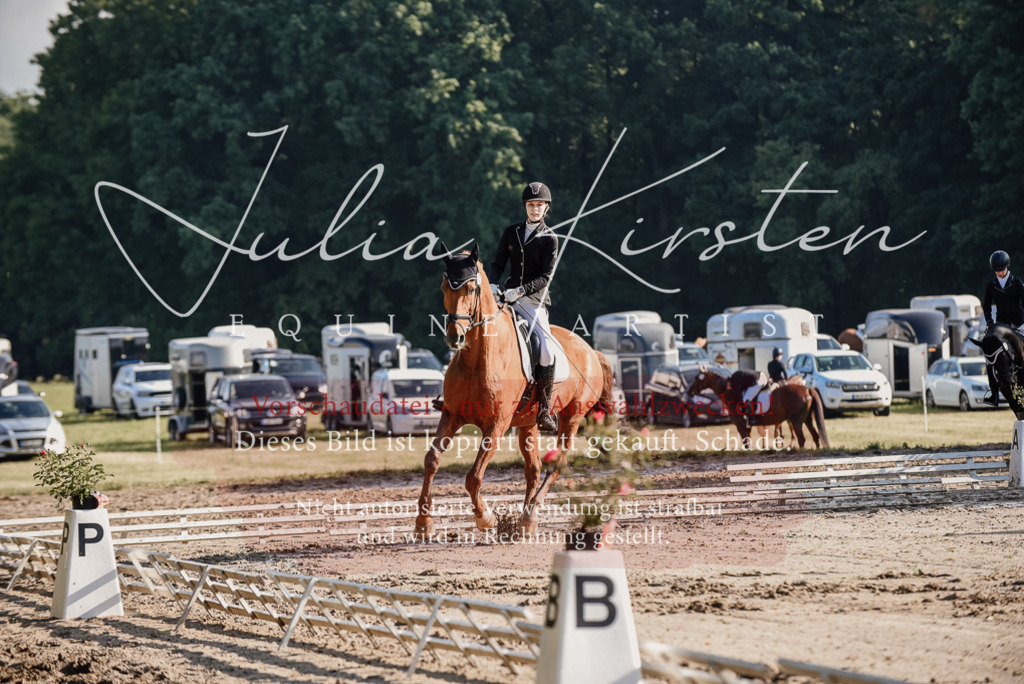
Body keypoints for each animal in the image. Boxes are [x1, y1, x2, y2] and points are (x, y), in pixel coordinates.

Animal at [415, 244, 615, 538]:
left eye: (472, 289)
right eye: (444, 287)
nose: (455, 337)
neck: (478, 358)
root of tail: (590, 350)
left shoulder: (497, 425)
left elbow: (473, 476)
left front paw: (486, 518)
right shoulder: (452, 415)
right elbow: (431, 460)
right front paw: (423, 523)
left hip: (572, 418)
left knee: (556, 465)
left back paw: (529, 515)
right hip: (529, 424)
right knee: (534, 469)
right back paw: (525, 521)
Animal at [685, 365, 829, 450]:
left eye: (697, 378)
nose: (689, 392)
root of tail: (807, 389)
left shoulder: (741, 426)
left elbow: (746, 444)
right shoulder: (747, 427)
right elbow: (749, 442)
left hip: (795, 421)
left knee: (802, 439)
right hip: (808, 419)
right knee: (815, 436)